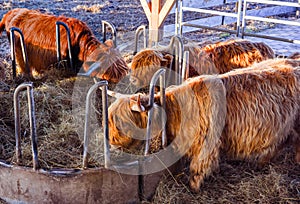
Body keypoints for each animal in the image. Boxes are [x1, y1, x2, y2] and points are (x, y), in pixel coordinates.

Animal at [108, 57, 300, 193]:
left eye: (122, 123)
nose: (112, 142)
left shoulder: (206, 144)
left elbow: (197, 167)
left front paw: (193, 187)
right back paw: (261, 164)